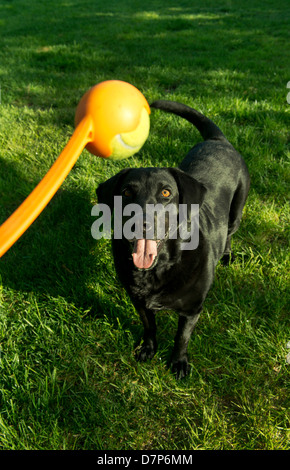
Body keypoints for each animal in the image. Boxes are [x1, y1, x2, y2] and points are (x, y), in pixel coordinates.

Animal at [96, 100, 250, 378]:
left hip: (237, 210)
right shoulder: (139, 302)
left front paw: (178, 363)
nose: (142, 222)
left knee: (231, 233)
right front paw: (148, 350)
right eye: (126, 192)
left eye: (166, 193)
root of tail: (217, 140)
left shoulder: (191, 310)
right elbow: (150, 327)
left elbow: (181, 338)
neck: (159, 269)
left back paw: (227, 255)